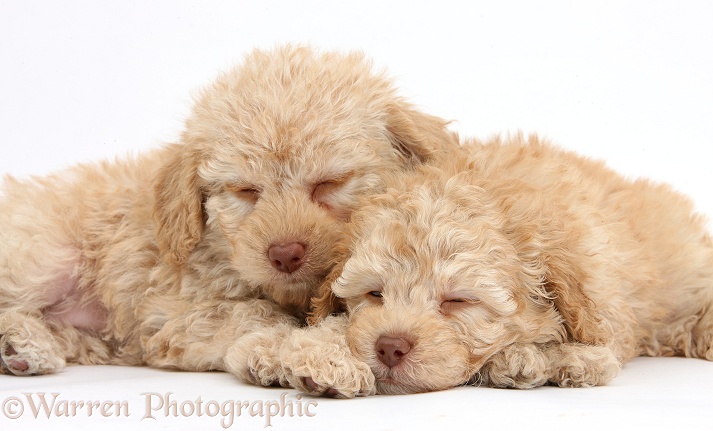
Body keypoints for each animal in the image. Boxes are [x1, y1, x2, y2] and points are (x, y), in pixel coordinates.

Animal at [0, 44, 456, 384]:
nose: (285, 254)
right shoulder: (168, 312)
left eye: (330, 183)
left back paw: (25, 346)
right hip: (46, 255)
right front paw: (283, 351)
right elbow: (249, 313)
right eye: (246, 191)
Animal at [280, 134, 712, 398]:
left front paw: (534, 359)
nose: (389, 346)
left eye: (457, 301)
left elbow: (596, 349)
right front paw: (324, 357)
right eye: (374, 293)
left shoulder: (607, 302)